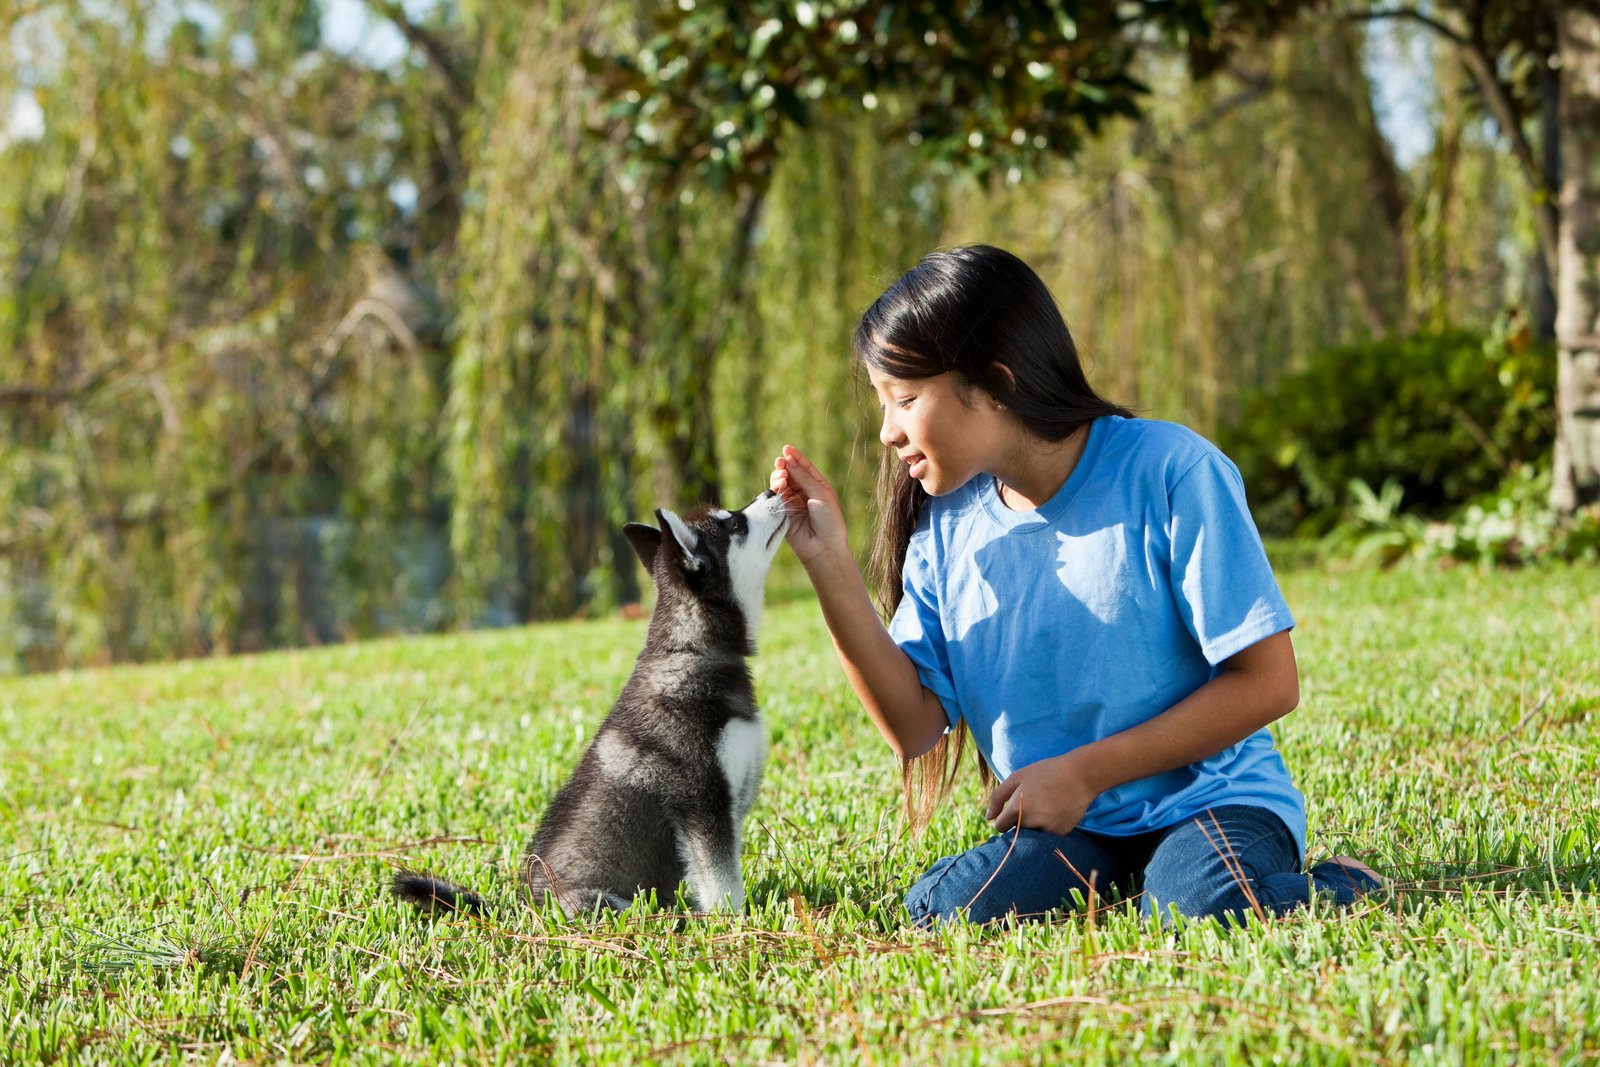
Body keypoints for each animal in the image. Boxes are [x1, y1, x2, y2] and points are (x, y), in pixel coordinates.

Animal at [388, 489, 787, 915]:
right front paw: (733, 921)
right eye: (735, 524)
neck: (692, 650)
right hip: (606, 902)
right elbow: (721, 880)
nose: (772, 491)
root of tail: (525, 906)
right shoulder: (702, 799)